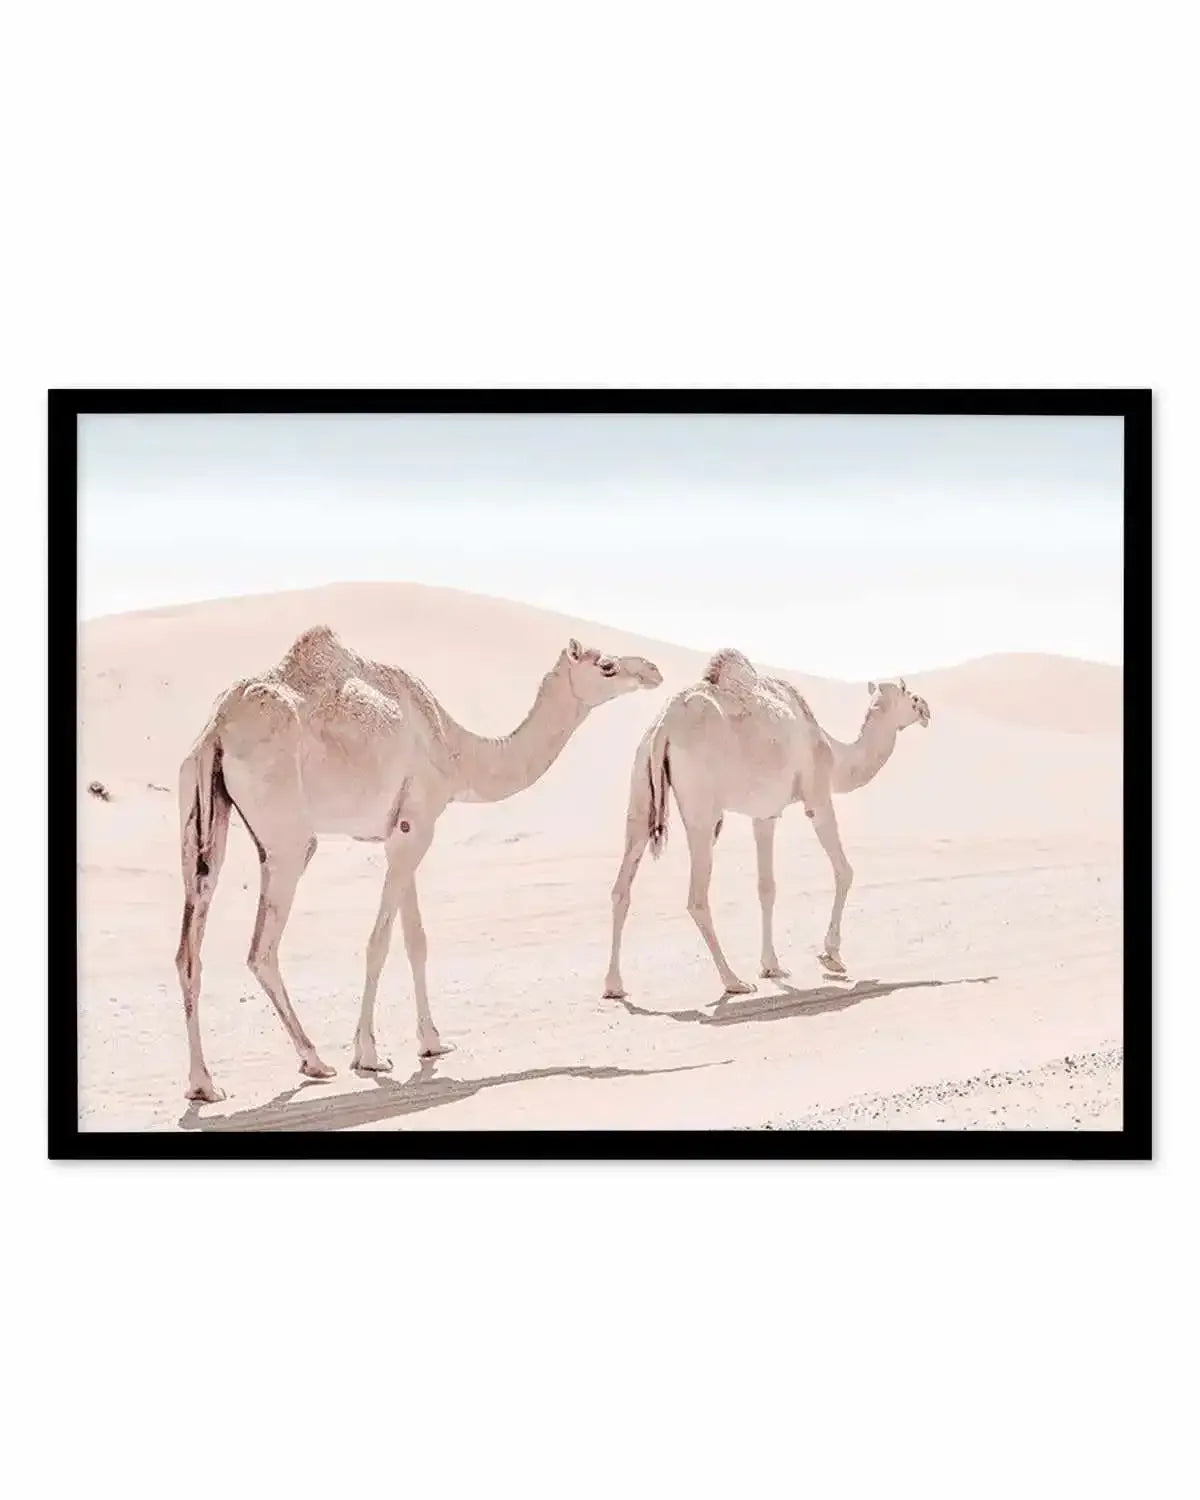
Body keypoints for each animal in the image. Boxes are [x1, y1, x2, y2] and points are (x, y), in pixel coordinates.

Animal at [174, 625, 662, 1101]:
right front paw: (369, 1055)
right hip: (288, 837)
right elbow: (380, 941)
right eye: (606, 665)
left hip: (200, 817)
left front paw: (431, 1042)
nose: (653, 670)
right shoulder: (417, 826)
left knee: (188, 948)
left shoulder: (403, 828)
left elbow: (416, 940)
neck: (454, 749)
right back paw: (314, 1060)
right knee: (262, 949)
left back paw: (204, 1084)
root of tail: (216, 730)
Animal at [602, 649, 930, 999]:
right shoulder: (817, 796)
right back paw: (733, 980)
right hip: (702, 807)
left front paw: (772, 965)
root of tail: (664, 725)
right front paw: (831, 956)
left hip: (640, 786)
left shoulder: (765, 815)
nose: (926, 709)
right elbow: (845, 871)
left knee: (622, 885)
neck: (833, 752)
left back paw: (614, 985)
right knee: (697, 898)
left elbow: (766, 887)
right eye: (911, 696)